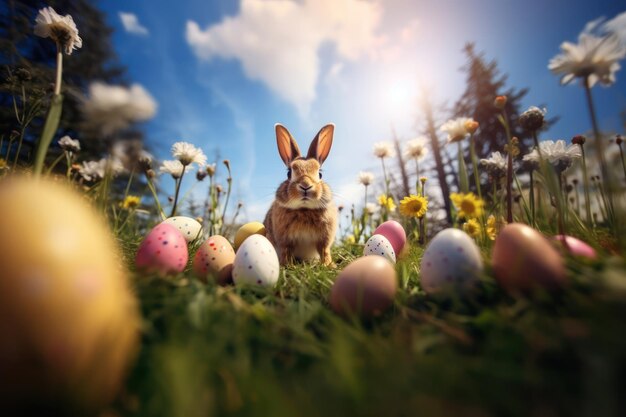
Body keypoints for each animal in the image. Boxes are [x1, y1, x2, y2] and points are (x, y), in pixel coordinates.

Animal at [264, 123, 336, 266]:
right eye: (289, 173)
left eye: (320, 174)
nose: (305, 186)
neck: (304, 209)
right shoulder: (285, 241)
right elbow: (286, 252)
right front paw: (287, 265)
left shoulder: (324, 239)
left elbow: (324, 251)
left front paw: (328, 265)